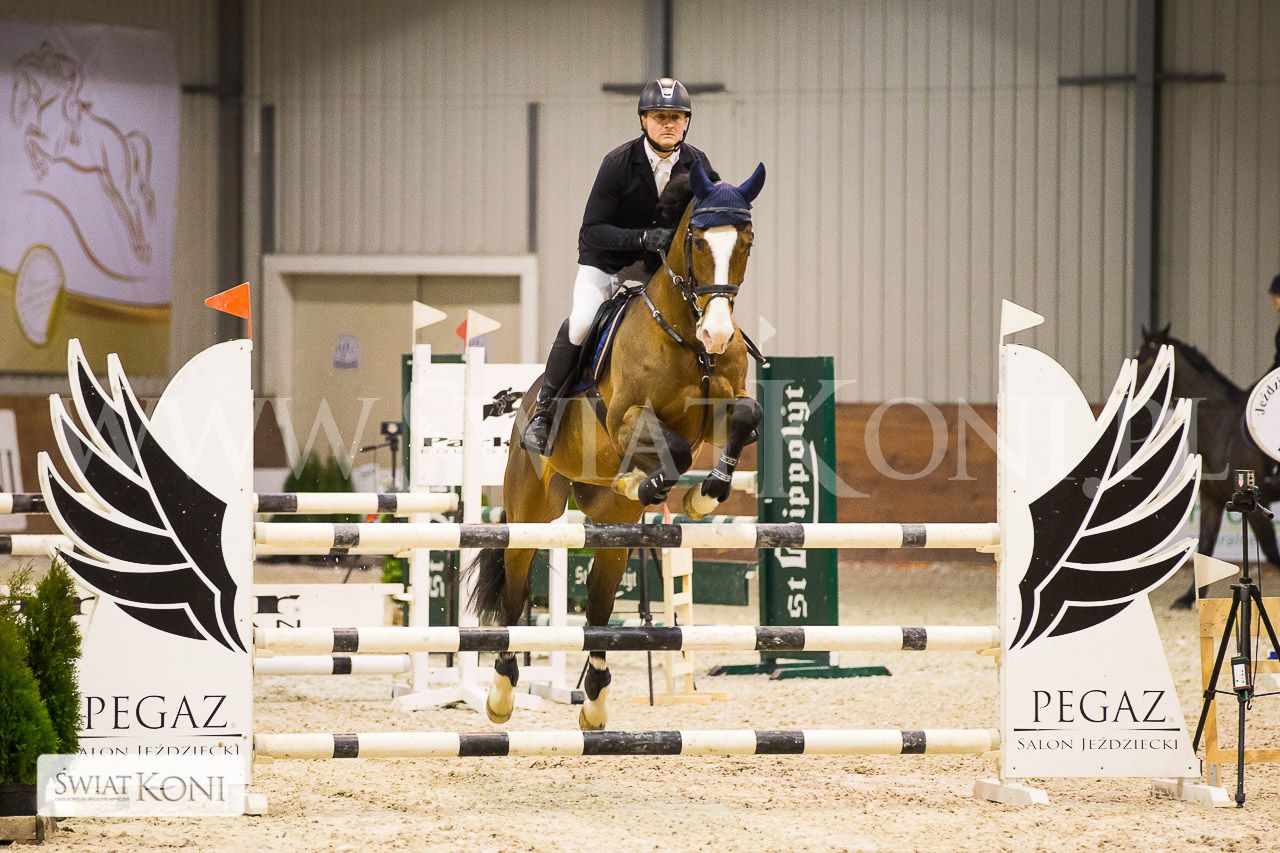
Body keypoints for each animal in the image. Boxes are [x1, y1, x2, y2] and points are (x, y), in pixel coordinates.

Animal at [469, 160, 766, 730]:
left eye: (746, 242)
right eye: (697, 241)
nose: (718, 334)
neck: (686, 336)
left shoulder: (723, 407)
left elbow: (746, 416)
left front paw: (703, 496)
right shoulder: (627, 419)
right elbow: (672, 449)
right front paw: (652, 482)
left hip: (612, 530)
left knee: (599, 608)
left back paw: (595, 700)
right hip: (532, 511)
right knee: (515, 595)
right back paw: (501, 694)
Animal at [1134, 326, 1280, 608]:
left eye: (1148, 359)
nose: (1128, 395)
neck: (1220, 426)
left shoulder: (1258, 505)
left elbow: (1272, 552)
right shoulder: (1212, 498)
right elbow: (1205, 546)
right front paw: (1189, 598)